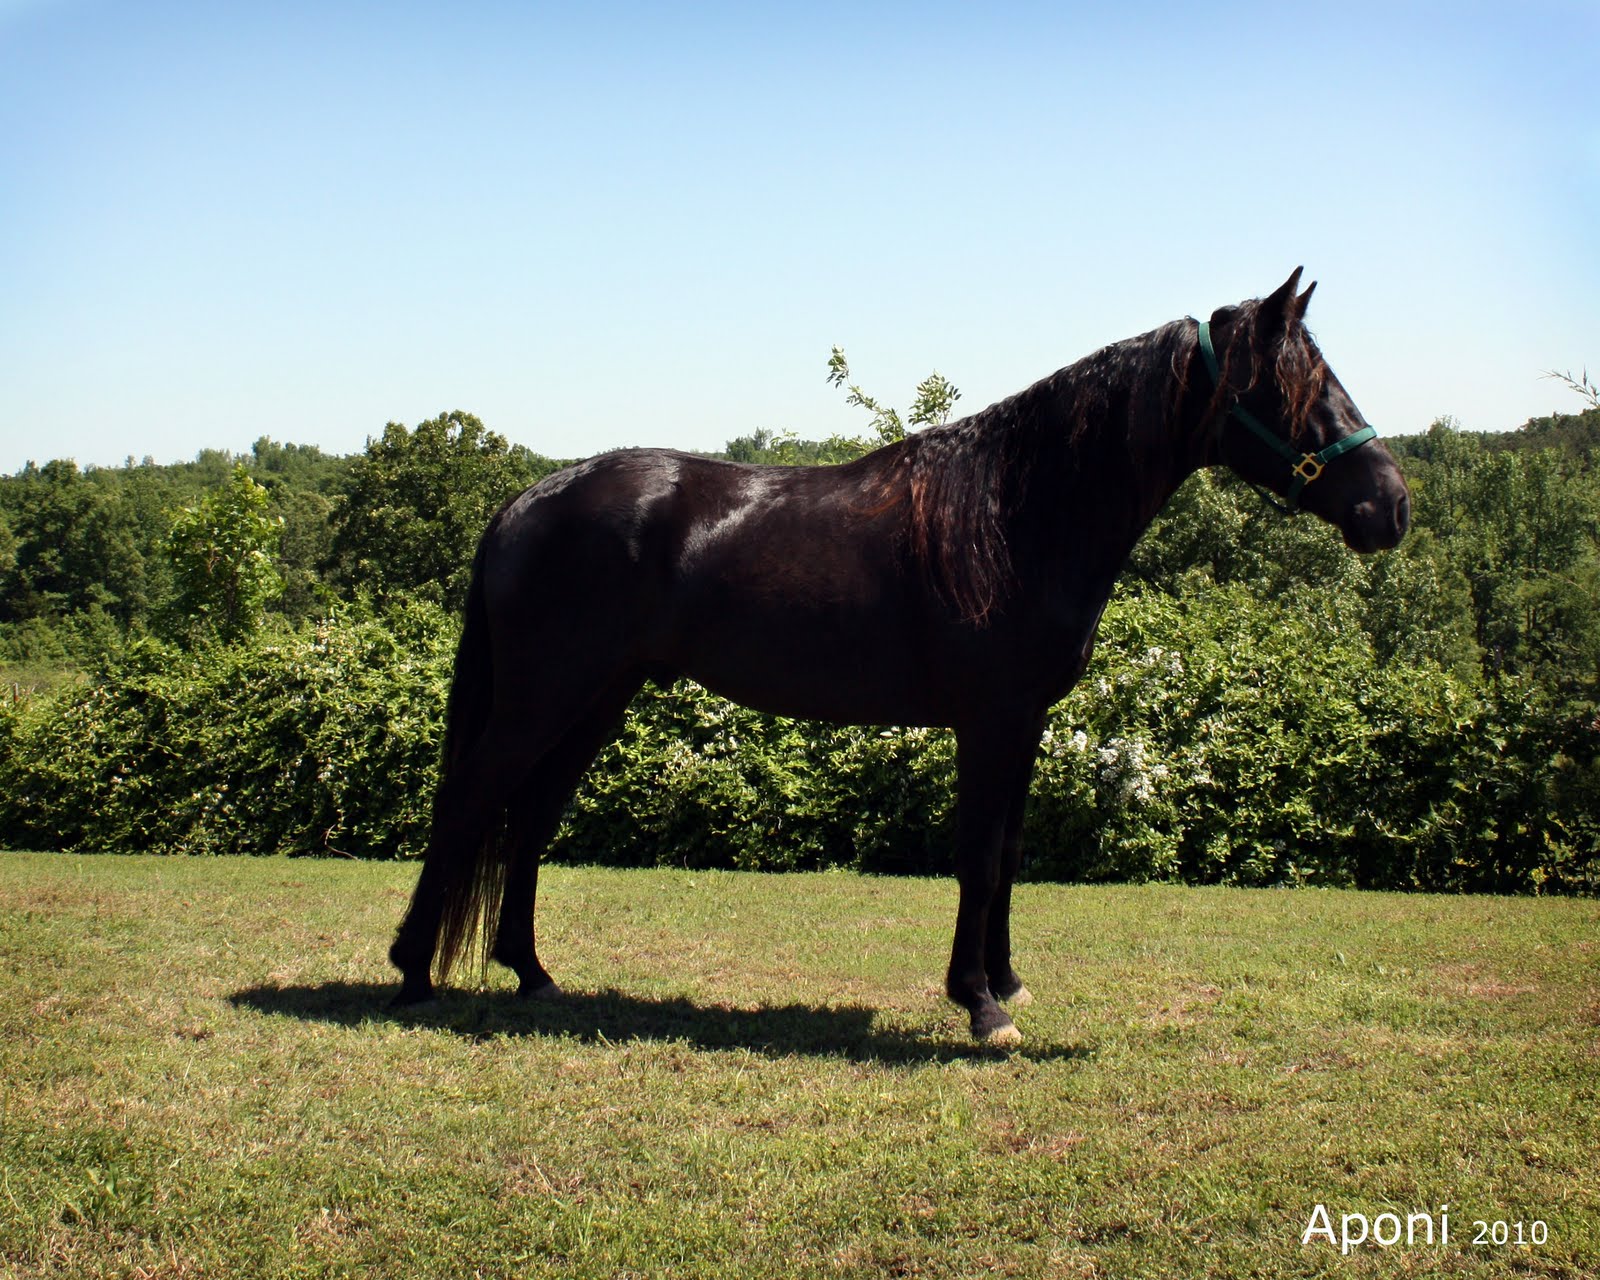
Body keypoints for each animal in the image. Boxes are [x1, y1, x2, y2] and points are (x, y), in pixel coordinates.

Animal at [389, 268, 1411, 1047]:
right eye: (1301, 389)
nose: (1391, 506)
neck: (1016, 513)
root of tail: (527, 500)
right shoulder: (988, 723)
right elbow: (977, 856)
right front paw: (981, 1005)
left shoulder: (1024, 725)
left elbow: (1008, 853)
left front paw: (1007, 980)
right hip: (541, 697)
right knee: (469, 802)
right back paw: (412, 973)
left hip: (597, 698)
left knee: (528, 820)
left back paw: (531, 973)